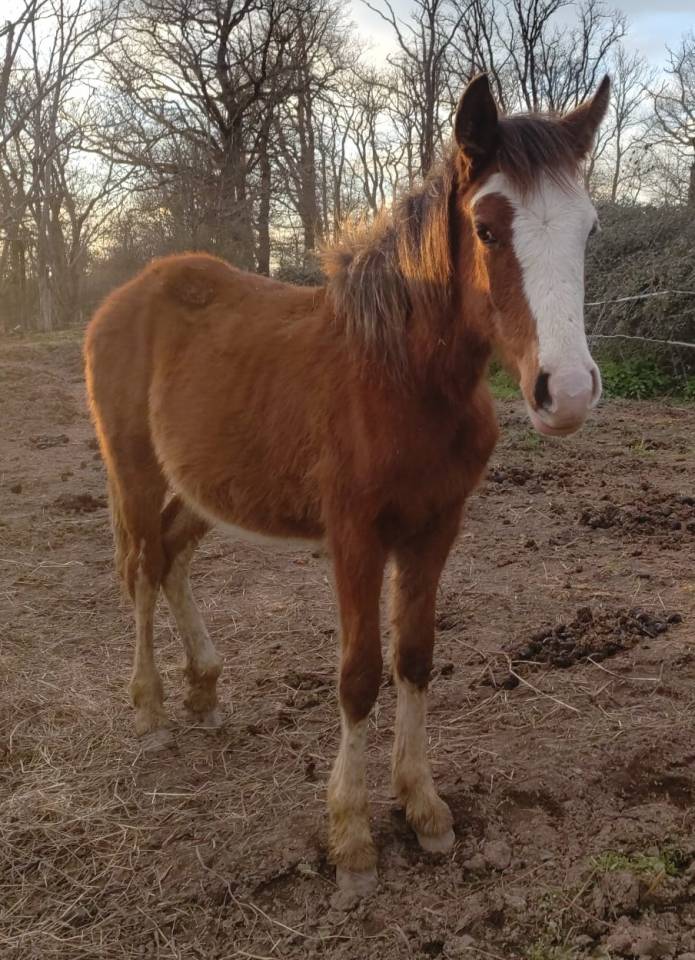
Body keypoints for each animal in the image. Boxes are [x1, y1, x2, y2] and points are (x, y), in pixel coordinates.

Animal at [84, 73, 610, 896]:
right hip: (133, 472)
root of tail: (125, 296)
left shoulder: (436, 528)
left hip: (203, 491)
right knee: (141, 569)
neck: (399, 379)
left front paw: (423, 808)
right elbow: (359, 675)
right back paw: (150, 710)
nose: (570, 392)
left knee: (171, 560)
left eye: (587, 230)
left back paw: (204, 687)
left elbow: (415, 657)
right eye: (488, 228)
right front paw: (352, 838)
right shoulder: (356, 537)